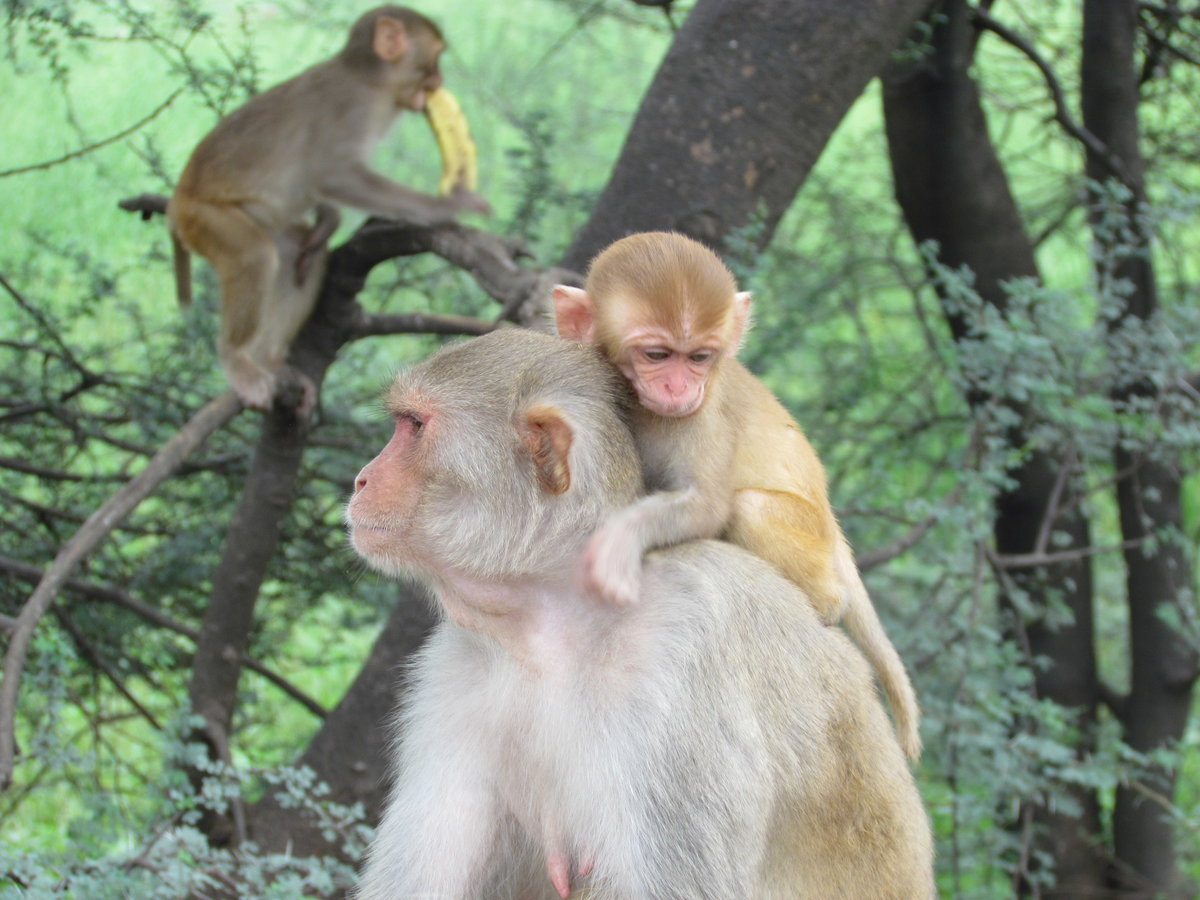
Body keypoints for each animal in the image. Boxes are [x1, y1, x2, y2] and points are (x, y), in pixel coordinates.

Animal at [168, 5, 490, 412]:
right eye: (433, 59)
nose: (439, 80)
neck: (369, 80)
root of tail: (177, 202)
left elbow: (322, 193)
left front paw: (330, 219)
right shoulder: (351, 109)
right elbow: (334, 175)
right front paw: (443, 206)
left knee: (298, 253)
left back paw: (272, 356)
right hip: (205, 218)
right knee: (255, 255)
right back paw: (238, 360)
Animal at [551, 231, 922, 762]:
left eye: (699, 357)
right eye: (657, 355)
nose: (679, 387)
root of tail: (833, 529)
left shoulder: (705, 412)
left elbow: (707, 507)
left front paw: (616, 545)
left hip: (808, 533)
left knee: (751, 507)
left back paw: (827, 603)